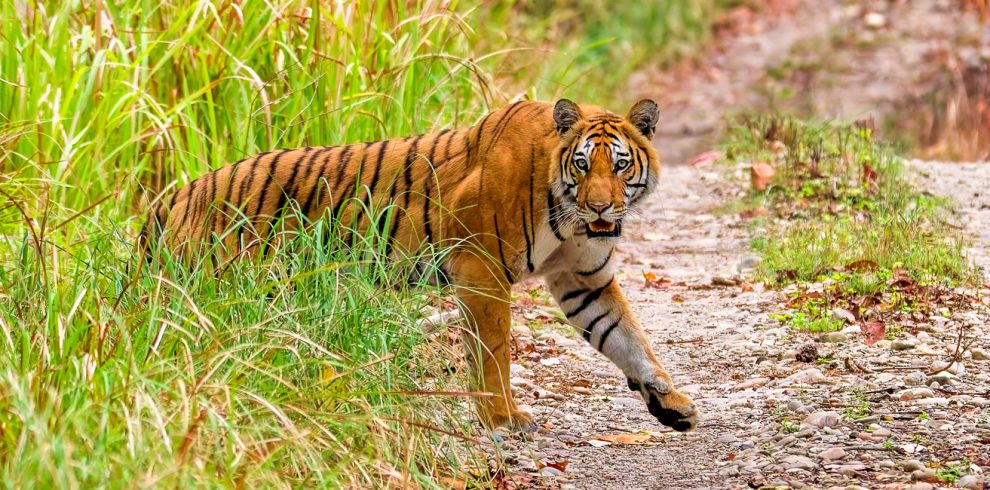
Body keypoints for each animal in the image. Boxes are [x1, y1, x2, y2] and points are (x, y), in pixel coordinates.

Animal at [139, 98, 699, 432]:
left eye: (620, 166)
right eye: (582, 165)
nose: (601, 207)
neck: (567, 217)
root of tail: (173, 198)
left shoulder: (583, 279)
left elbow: (628, 338)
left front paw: (670, 402)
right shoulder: (482, 269)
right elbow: (494, 353)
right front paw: (502, 417)